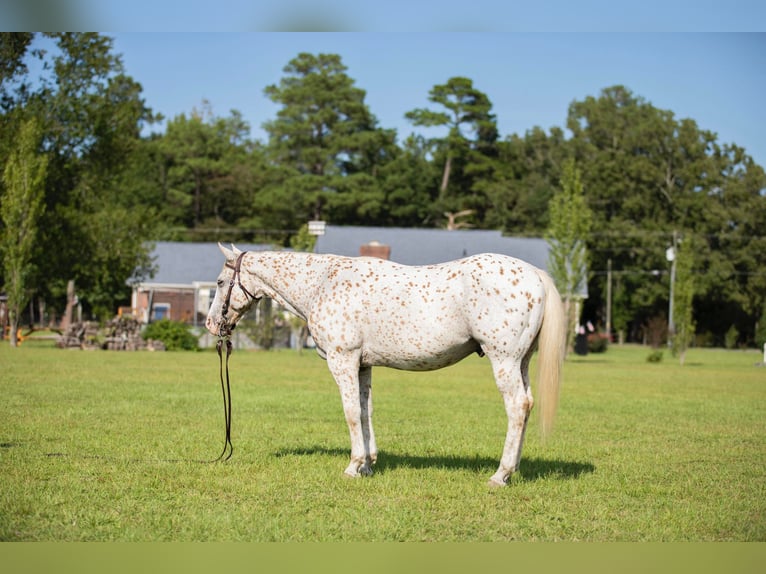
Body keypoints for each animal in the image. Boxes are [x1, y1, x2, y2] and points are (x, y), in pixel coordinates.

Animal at [207, 245, 568, 488]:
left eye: (221, 282)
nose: (212, 324)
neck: (322, 283)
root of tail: (534, 274)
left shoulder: (343, 360)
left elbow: (351, 412)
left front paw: (353, 466)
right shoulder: (362, 366)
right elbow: (366, 412)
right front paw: (368, 464)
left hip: (504, 360)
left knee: (517, 407)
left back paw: (500, 474)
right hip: (521, 361)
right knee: (527, 405)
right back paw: (513, 471)